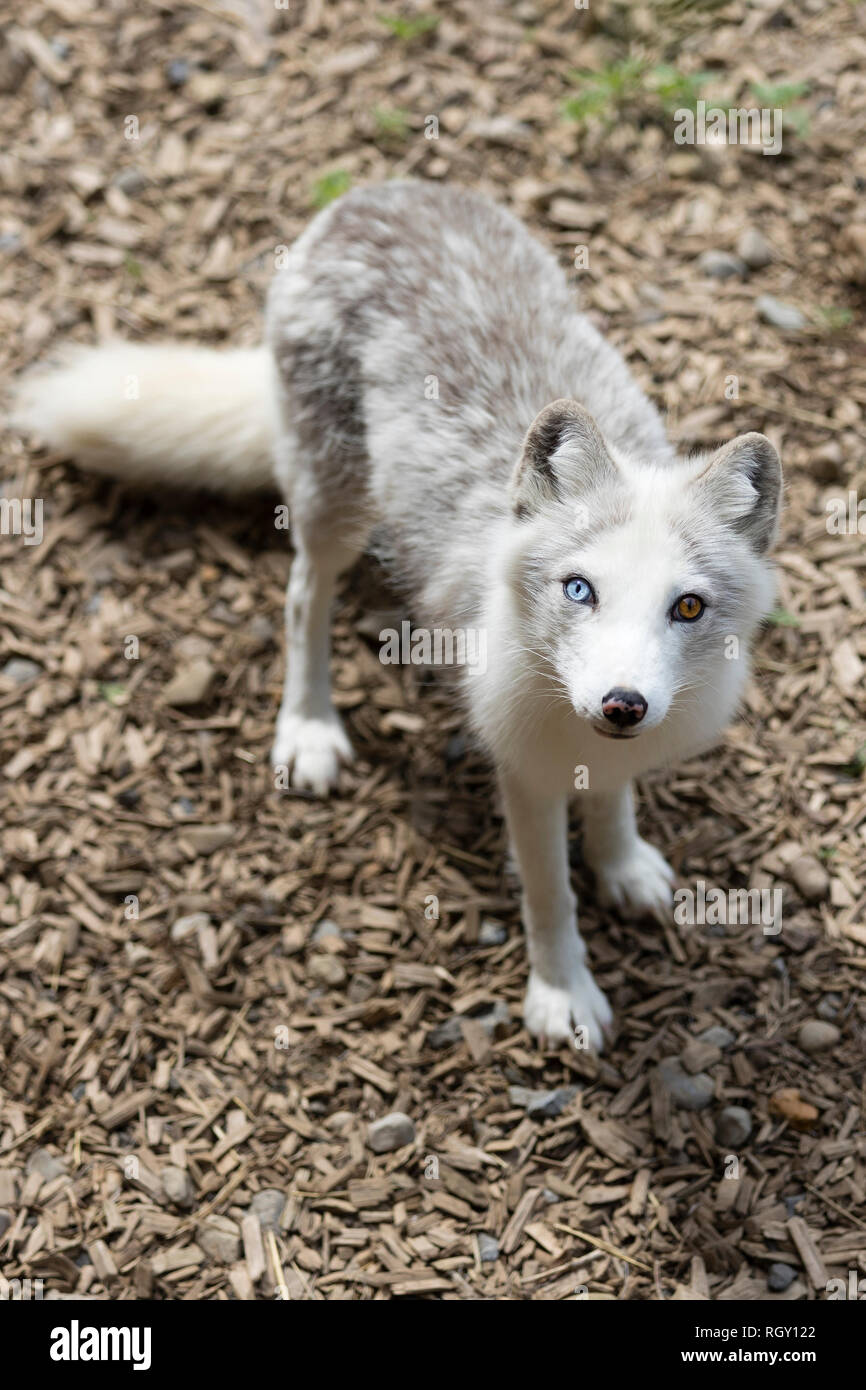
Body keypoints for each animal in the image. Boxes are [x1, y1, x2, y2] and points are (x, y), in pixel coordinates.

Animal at [11, 187, 783, 1050]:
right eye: (580, 590)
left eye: (687, 607)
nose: (623, 704)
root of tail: (377, 194)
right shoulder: (523, 773)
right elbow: (549, 896)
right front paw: (562, 996)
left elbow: (613, 802)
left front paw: (621, 865)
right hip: (335, 505)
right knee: (302, 598)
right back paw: (310, 728)